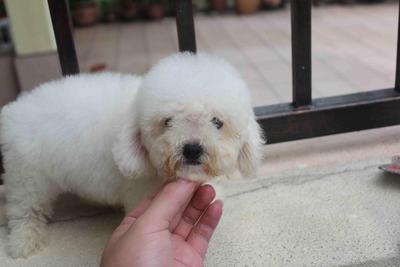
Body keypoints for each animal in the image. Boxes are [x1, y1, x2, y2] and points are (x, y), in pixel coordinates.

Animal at [0, 51, 266, 258]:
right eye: (167, 122)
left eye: (217, 122)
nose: (192, 148)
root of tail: (13, 111)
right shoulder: (140, 191)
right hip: (27, 177)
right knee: (24, 209)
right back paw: (23, 242)